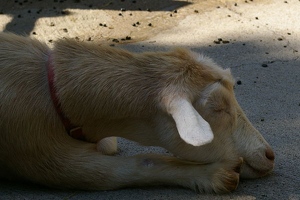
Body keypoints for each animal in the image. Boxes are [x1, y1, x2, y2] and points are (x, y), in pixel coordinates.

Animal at [0, 32, 274, 194]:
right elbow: (113, 171)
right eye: (218, 108)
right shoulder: (40, 154)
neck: (52, 90)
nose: (269, 155)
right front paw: (215, 175)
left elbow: (110, 146)